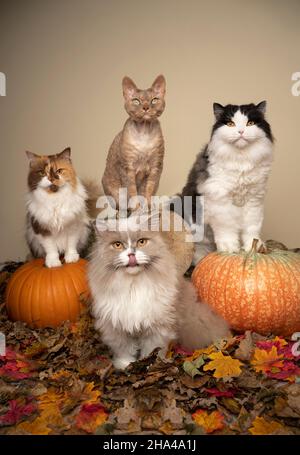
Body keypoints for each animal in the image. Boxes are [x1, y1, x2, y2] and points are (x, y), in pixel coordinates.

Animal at [88, 215, 229, 370]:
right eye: (117, 245)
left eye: (142, 242)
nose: (131, 254)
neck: (133, 284)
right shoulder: (115, 327)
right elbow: (124, 350)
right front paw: (124, 365)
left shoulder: (158, 326)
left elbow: (152, 349)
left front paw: (150, 364)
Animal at [102, 75, 165, 210]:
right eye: (136, 101)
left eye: (154, 100)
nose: (146, 107)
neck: (144, 133)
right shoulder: (127, 168)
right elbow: (132, 191)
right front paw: (136, 208)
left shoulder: (155, 167)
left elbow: (147, 190)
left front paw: (147, 207)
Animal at [179, 101, 274, 262]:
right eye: (230, 124)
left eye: (250, 123)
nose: (241, 131)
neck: (241, 159)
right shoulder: (221, 201)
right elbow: (227, 228)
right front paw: (229, 248)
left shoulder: (254, 200)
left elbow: (252, 229)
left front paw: (254, 248)